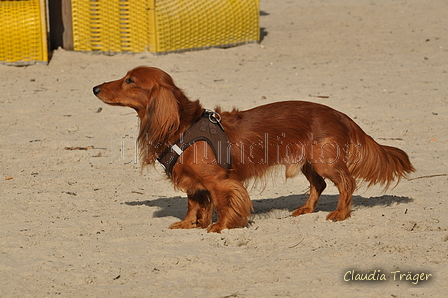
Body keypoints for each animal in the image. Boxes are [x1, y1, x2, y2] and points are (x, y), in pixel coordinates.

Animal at [93, 67, 414, 233]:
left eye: (129, 80)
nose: (95, 88)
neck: (182, 126)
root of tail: (339, 114)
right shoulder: (195, 184)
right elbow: (194, 205)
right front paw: (187, 224)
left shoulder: (220, 182)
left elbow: (223, 204)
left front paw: (219, 227)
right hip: (308, 162)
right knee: (319, 186)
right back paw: (306, 209)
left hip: (324, 161)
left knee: (347, 183)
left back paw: (340, 214)